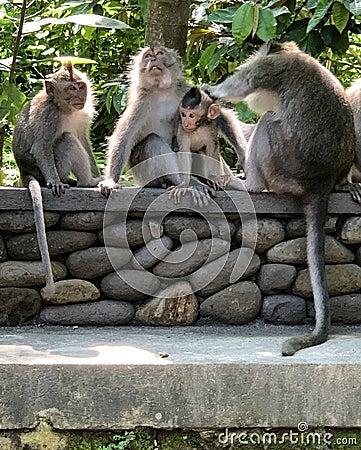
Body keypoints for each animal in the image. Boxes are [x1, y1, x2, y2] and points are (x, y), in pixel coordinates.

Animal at [12, 60, 100, 298]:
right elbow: (41, 146)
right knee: (67, 140)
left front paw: (101, 175)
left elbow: (83, 140)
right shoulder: (49, 116)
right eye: (70, 88)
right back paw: (84, 182)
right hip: (56, 166)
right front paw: (56, 183)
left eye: (80, 86)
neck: (64, 108)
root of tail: (25, 172)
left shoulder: (82, 114)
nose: (80, 95)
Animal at [204, 40, 352, 356]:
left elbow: (243, 85)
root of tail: (322, 184)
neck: (291, 53)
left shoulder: (268, 69)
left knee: (270, 122)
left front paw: (212, 90)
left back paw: (250, 184)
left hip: (285, 166)